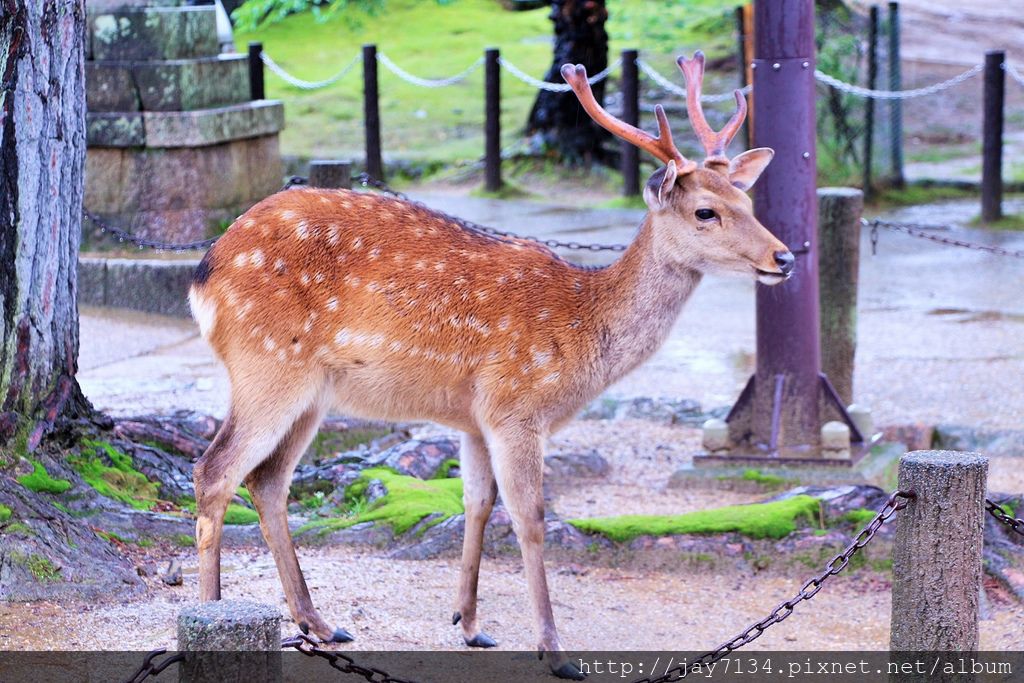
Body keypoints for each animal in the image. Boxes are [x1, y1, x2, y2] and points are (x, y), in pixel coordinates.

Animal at [186, 52, 790, 679]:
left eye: (748, 203)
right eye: (705, 212)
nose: (785, 256)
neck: (582, 333)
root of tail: (204, 272)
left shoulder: (476, 418)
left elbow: (477, 503)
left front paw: (470, 624)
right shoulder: (516, 406)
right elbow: (530, 517)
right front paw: (554, 650)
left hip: (313, 390)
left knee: (267, 479)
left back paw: (319, 623)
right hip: (267, 363)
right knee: (215, 469)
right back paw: (212, 615)